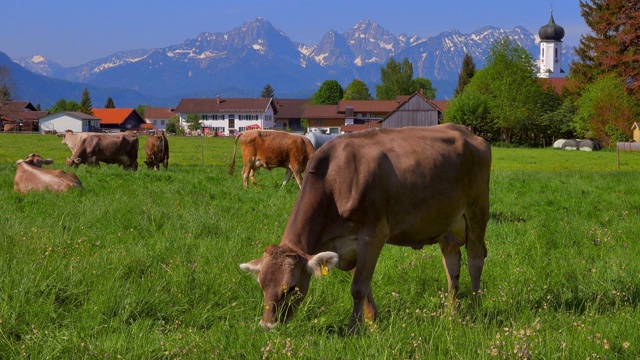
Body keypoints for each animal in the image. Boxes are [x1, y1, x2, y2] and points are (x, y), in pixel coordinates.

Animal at [238, 124, 492, 332]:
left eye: (290, 288)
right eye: (262, 285)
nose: (267, 326)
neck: (334, 180)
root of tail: (467, 132)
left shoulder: (373, 235)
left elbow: (359, 287)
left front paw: (353, 329)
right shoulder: (345, 246)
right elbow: (364, 283)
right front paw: (372, 320)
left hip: (477, 212)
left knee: (475, 261)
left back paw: (475, 308)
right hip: (447, 225)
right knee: (452, 266)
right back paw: (451, 312)